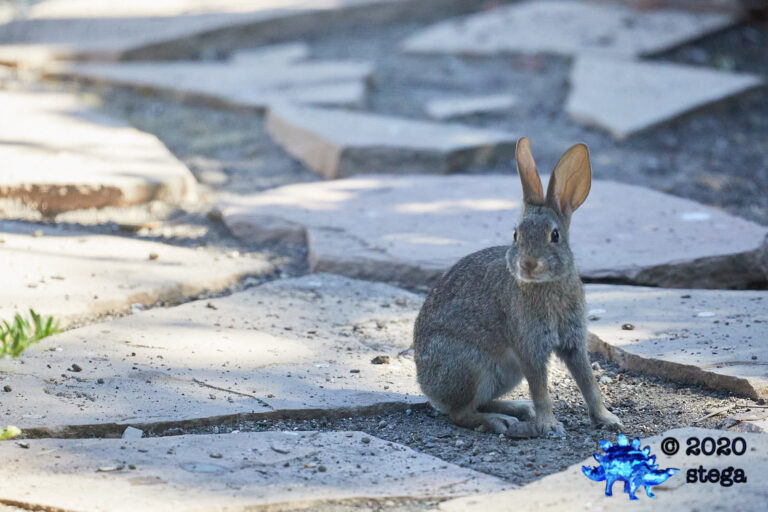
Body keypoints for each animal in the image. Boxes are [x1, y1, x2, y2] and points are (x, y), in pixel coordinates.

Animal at [413, 137, 622, 437]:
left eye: (555, 235)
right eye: (516, 235)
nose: (528, 264)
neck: (547, 285)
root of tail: (428, 388)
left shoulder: (573, 342)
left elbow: (589, 384)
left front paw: (608, 419)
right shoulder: (530, 345)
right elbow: (541, 389)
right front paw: (549, 425)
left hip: (505, 374)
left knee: (478, 404)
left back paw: (519, 409)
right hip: (473, 368)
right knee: (460, 413)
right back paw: (501, 421)